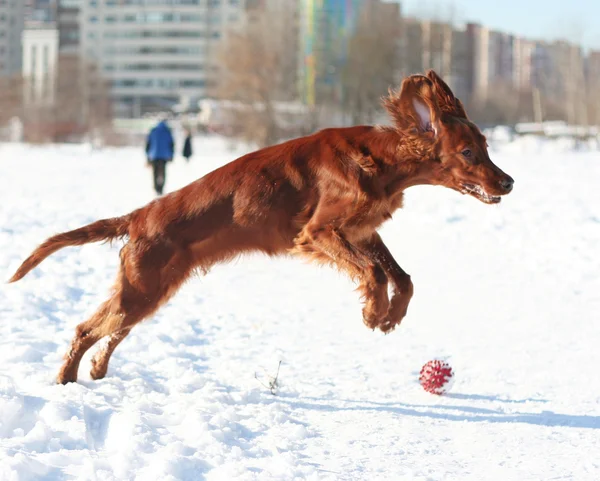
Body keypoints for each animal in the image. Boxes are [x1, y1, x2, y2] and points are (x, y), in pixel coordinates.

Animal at [7, 69, 512, 382]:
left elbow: (401, 277)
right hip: (142, 288)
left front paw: (391, 316)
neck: (381, 161)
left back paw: (94, 371)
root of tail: (140, 216)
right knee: (85, 329)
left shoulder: (362, 230)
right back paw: (67, 379)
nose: (508, 182)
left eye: (487, 146)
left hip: (150, 292)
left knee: (110, 331)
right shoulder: (319, 232)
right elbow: (372, 273)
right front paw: (373, 313)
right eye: (468, 152)